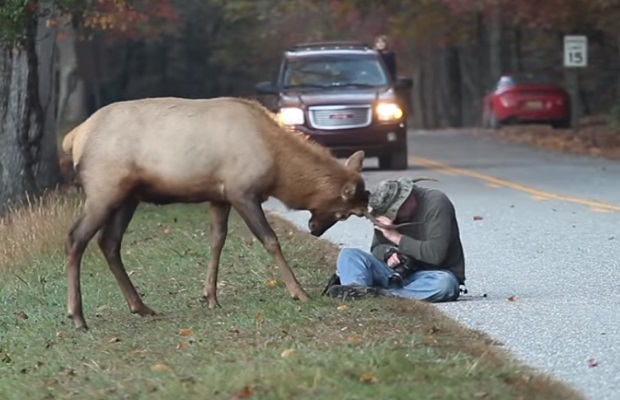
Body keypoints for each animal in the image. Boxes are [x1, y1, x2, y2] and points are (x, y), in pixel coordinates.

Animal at [61, 97, 382, 332]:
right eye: (344, 214)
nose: (314, 229)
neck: (278, 169)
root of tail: (74, 137)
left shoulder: (220, 196)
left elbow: (217, 241)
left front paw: (211, 296)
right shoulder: (242, 191)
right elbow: (270, 240)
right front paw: (298, 291)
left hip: (128, 196)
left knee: (109, 242)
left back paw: (140, 306)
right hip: (104, 188)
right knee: (76, 237)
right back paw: (78, 317)